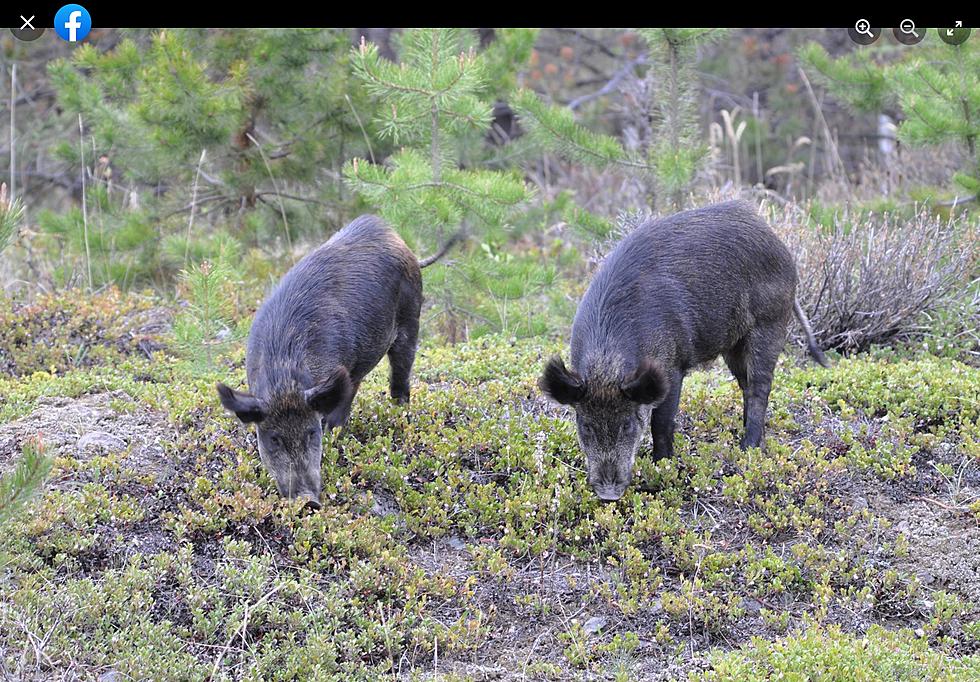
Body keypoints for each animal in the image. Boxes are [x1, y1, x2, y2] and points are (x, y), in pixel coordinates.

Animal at [216, 215, 454, 508]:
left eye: (311, 432)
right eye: (274, 439)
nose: (308, 500)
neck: (285, 374)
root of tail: (402, 243)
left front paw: (333, 435)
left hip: (411, 319)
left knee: (400, 377)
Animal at [540, 201, 832, 500]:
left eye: (627, 424)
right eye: (585, 425)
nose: (609, 493)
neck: (607, 363)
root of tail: (776, 240)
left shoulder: (672, 368)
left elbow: (661, 423)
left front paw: (663, 466)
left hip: (770, 323)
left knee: (761, 385)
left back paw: (747, 448)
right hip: (734, 344)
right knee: (745, 384)